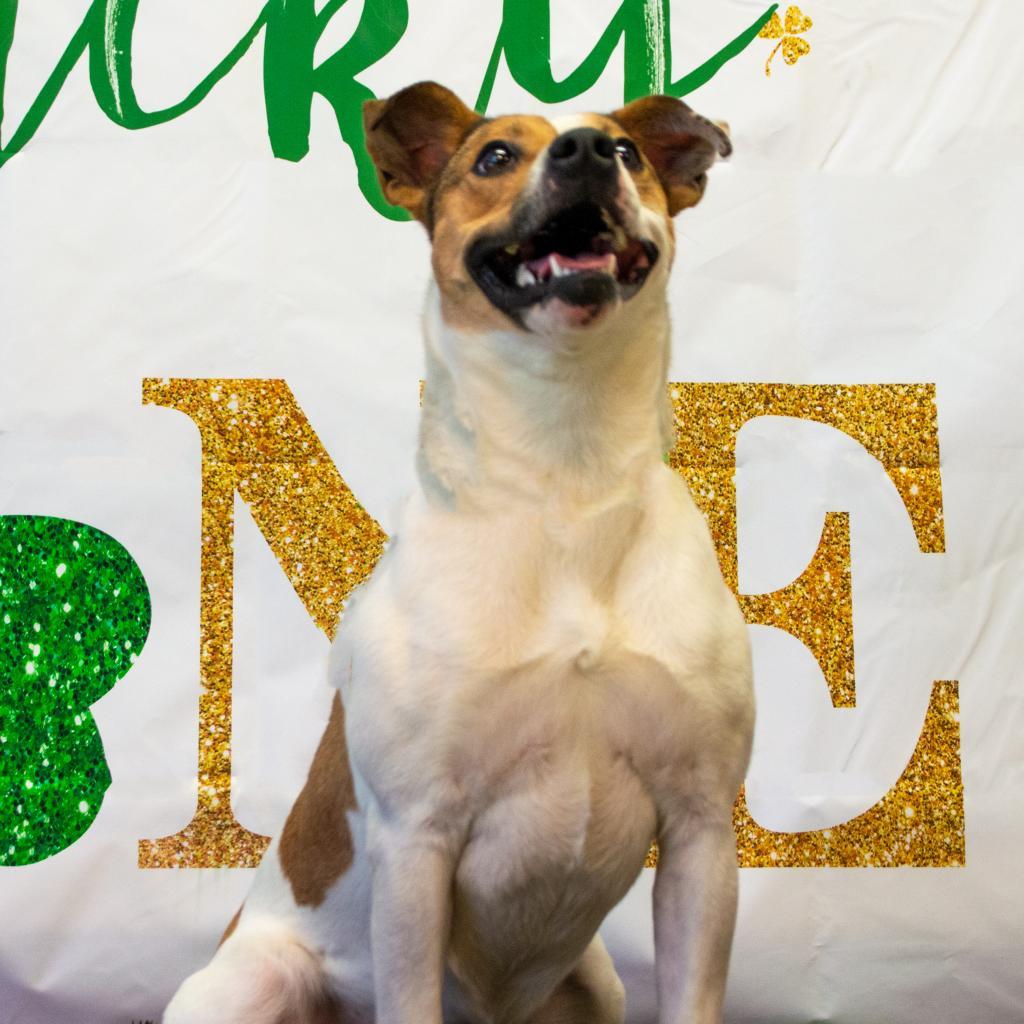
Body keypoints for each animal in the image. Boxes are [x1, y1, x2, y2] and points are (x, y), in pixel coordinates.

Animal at [165, 81, 753, 1024]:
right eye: (494, 157)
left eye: (629, 152)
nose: (588, 151)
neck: (565, 474)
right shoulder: (417, 842)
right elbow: (410, 992)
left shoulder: (701, 829)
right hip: (251, 981)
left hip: (594, 981)